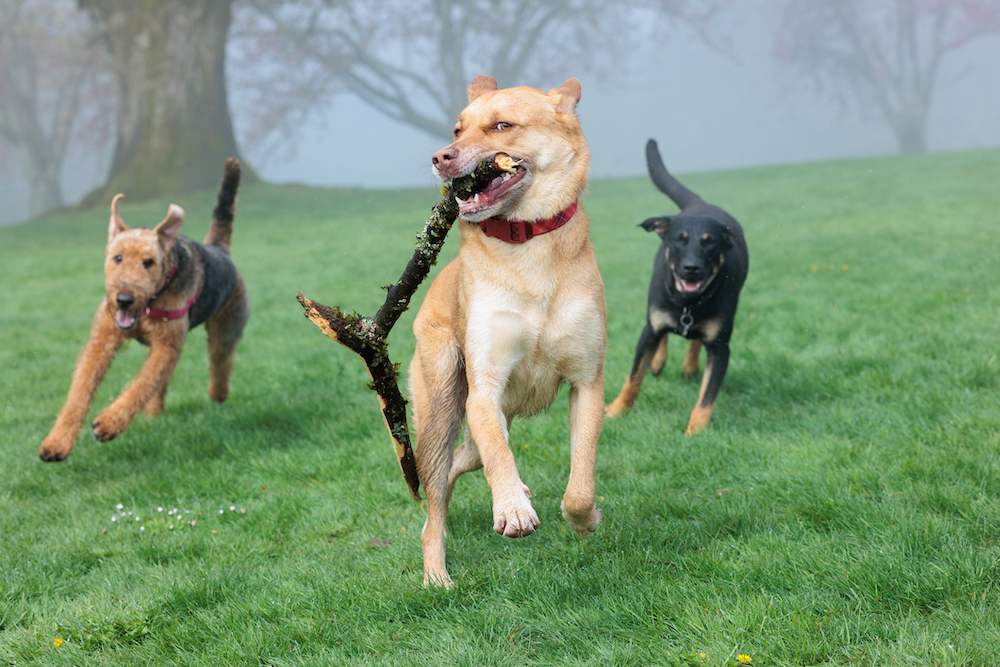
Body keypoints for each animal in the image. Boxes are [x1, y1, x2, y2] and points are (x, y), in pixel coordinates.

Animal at [39, 159, 250, 462]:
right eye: (117, 257)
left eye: (148, 262)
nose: (124, 299)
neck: (149, 305)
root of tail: (218, 248)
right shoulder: (102, 340)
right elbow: (79, 392)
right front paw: (56, 443)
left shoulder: (167, 346)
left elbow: (141, 384)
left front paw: (108, 424)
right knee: (161, 385)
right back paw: (154, 415)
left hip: (225, 330)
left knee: (220, 364)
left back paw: (217, 397)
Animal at [604, 138, 748, 436]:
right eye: (679, 240)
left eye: (710, 242)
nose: (691, 267)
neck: (687, 303)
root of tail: (701, 203)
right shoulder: (647, 331)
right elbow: (633, 378)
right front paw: (615, 412)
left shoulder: (721, 347)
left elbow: (707, 396)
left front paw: (695, 432)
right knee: (664, 333)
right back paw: (659, 361)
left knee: (694, 340)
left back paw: (689, 366)